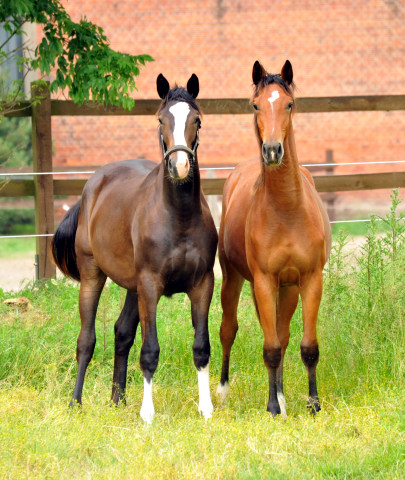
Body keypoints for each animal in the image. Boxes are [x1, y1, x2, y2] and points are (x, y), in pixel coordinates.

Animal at [53, 73, 219, 422]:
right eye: (161, 119)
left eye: (197, 120)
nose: (180, 167)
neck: (179, 217)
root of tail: (92, 187)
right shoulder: (150, 285)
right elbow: (150, 350)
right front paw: (148, 414)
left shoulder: (202, 285)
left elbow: (201, 347)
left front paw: (207, 409)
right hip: (94, 275)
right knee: (86, 339)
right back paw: (75, 402)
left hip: (132, 287)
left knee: (122, 333)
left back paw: (118, 399)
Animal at [216, 62, 330, 418]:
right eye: (256, 105)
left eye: (289, 104)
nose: (272, 150)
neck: (287, 209)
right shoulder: (264, 281)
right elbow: (270, 349)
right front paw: (271, 408)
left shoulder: (309, 280)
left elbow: (307, 347)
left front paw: (313, 403)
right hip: (234, 279)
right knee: (229, 330)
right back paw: (223, 390)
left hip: (288, 288)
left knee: (284, 333)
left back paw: (281, 394)